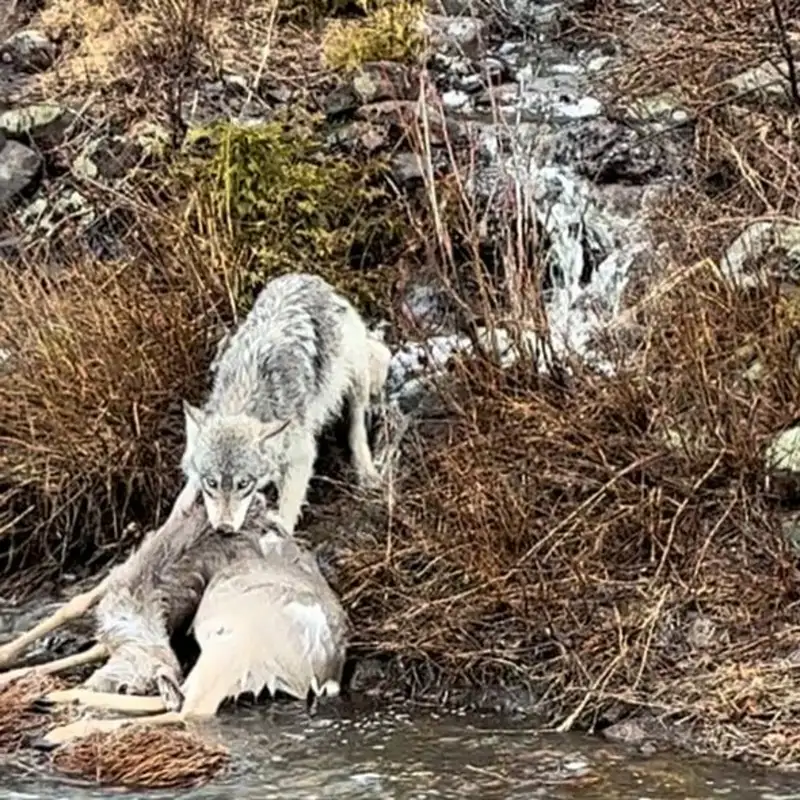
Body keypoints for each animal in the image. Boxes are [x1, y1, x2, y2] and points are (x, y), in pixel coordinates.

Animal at [168, 272, 389, 535]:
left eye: (244, 483)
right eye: (211, 482)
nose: (224, 529)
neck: (246, 393)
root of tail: (308, 278)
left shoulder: (301, 455)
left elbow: (286, 513)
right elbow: (185, 493)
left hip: (355, 379)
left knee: (356, 425)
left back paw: (367, 472)